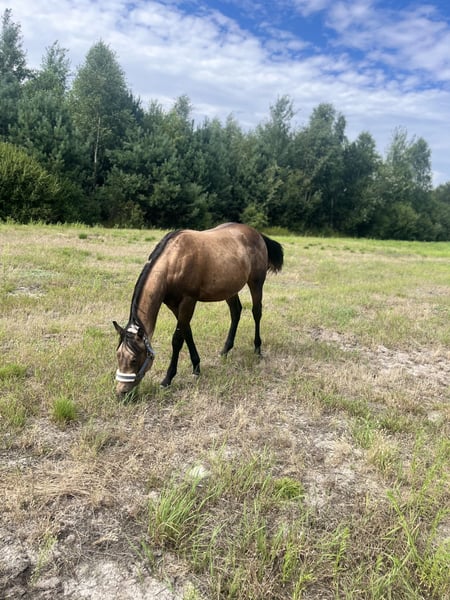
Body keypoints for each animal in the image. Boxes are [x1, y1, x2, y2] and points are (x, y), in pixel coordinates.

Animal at [113, 223, 283, 397]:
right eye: (118, 356)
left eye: (134, 359)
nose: (121, 392)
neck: (174, 261)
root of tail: (257, 234)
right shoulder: (174, 305)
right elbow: (187, 333)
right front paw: (196, 367)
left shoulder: (188, 301)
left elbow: (177, 339)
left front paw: (168, 378)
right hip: (229, 289)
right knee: (236, 312)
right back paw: (225, 350)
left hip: (256, 283)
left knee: (257, 312)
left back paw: (257, 348)